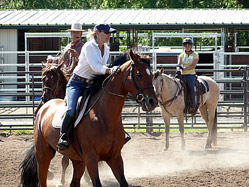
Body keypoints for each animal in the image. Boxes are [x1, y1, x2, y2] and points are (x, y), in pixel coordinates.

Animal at [20, 50, 158, 187]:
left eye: (151, 75)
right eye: (139, 74)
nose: (152, 101)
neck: (104, 117)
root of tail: (45, 107)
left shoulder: (115, 158)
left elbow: (123, 182)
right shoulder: (91, 158)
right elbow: (95, 181)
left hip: (77, 161)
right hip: (42, 154)